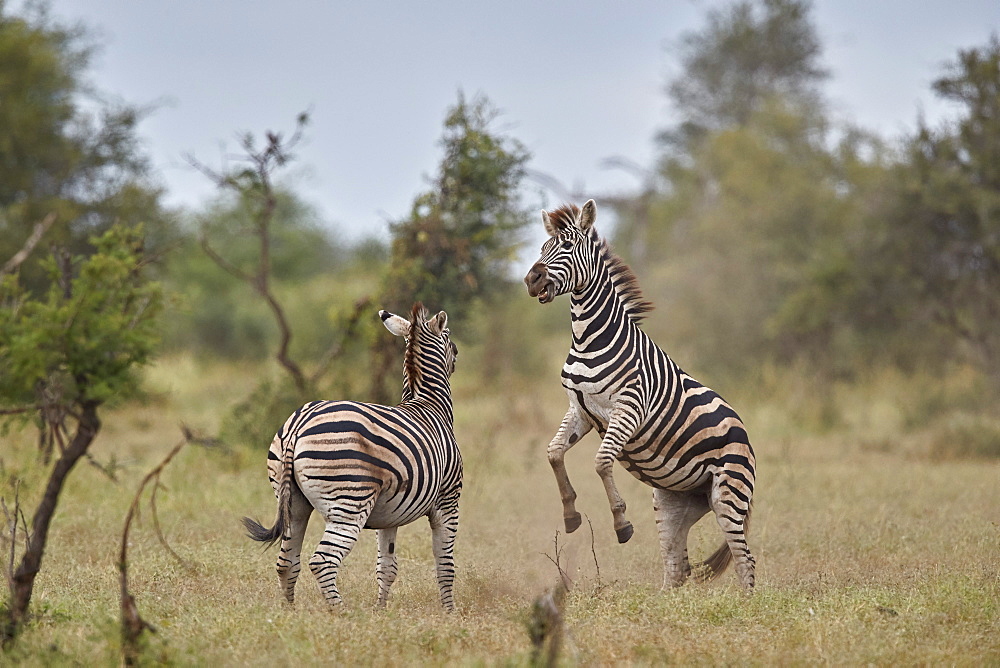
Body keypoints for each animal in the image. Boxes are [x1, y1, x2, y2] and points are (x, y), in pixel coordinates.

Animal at [242, 302, 464, 612]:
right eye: (449, 335)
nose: (457, 354)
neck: (428, 404)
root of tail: (299, 422)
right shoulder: (448, 500)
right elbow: (445, 564)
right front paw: (450, 612)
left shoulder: (391, 514)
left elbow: (387, 566)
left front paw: (381, 611)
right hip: (349, 501)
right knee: (322, 561)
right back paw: (342, 612)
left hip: (293, 502)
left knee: (287, 561)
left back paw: (290, 612)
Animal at [528, 200, 752, 588]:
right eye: (543, 248)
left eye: (568, 247)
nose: (531, 280)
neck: (588, 339)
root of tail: (745, 432)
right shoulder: (580, 410)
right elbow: (554, 453)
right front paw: (570, 514)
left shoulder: (629, 408)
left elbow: (601, 462)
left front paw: (621, 523)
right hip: (674, 502)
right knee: (677, 568)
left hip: (729, 495)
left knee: (744, 561)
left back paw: (749, 601)